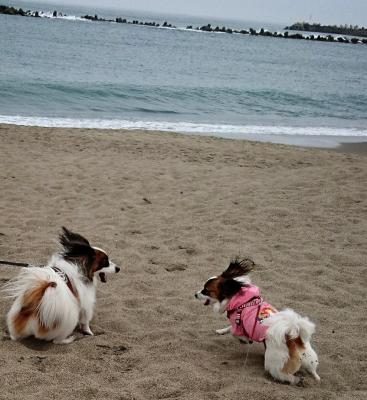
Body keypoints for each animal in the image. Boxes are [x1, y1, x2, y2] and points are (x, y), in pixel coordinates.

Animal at [196, 258, 320, 386]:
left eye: (205, 291)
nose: (195, 294)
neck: (240, 300)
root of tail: (293, 337)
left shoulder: (238, 324)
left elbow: (234, 332)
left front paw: (244, 340)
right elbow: (229, 328)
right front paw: (221, 331)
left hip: (274, 364)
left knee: (288, 377)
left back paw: (297, 380)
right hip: (309, 358)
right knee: (313, 371)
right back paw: (315, 378)